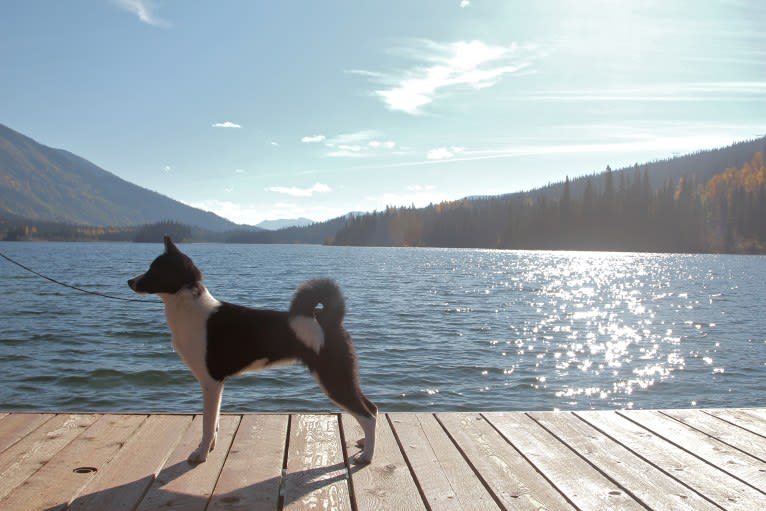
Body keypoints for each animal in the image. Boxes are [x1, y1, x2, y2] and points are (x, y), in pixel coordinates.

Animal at [128, 236, 378, 464]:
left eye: (154, 270)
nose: (129, 281)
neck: (188, 307)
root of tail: (328, 319)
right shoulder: (216, 385)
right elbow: (214, 422)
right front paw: (209, 448)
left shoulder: (210, 382)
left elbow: (207, 424)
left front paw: (200, 454)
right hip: (342, 377)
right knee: (371, 408)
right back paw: (364, 442)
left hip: (333, 379)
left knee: (368, 415)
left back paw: (366, 456)